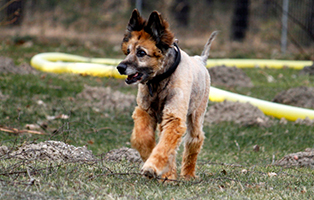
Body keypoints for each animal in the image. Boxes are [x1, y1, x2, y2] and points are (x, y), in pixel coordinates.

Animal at [116, 9, 217, 180]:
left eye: (141, 53)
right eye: (128, 51)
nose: (120, 67)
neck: (159, 81)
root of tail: (200, 60)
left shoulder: (174, 117)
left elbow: (165, 145)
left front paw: (151, 166)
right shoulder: (145, 111)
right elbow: (144, 138)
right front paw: (149, 158)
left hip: (196, 115)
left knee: (195, 140)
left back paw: (187, 174)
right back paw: (169, 174)